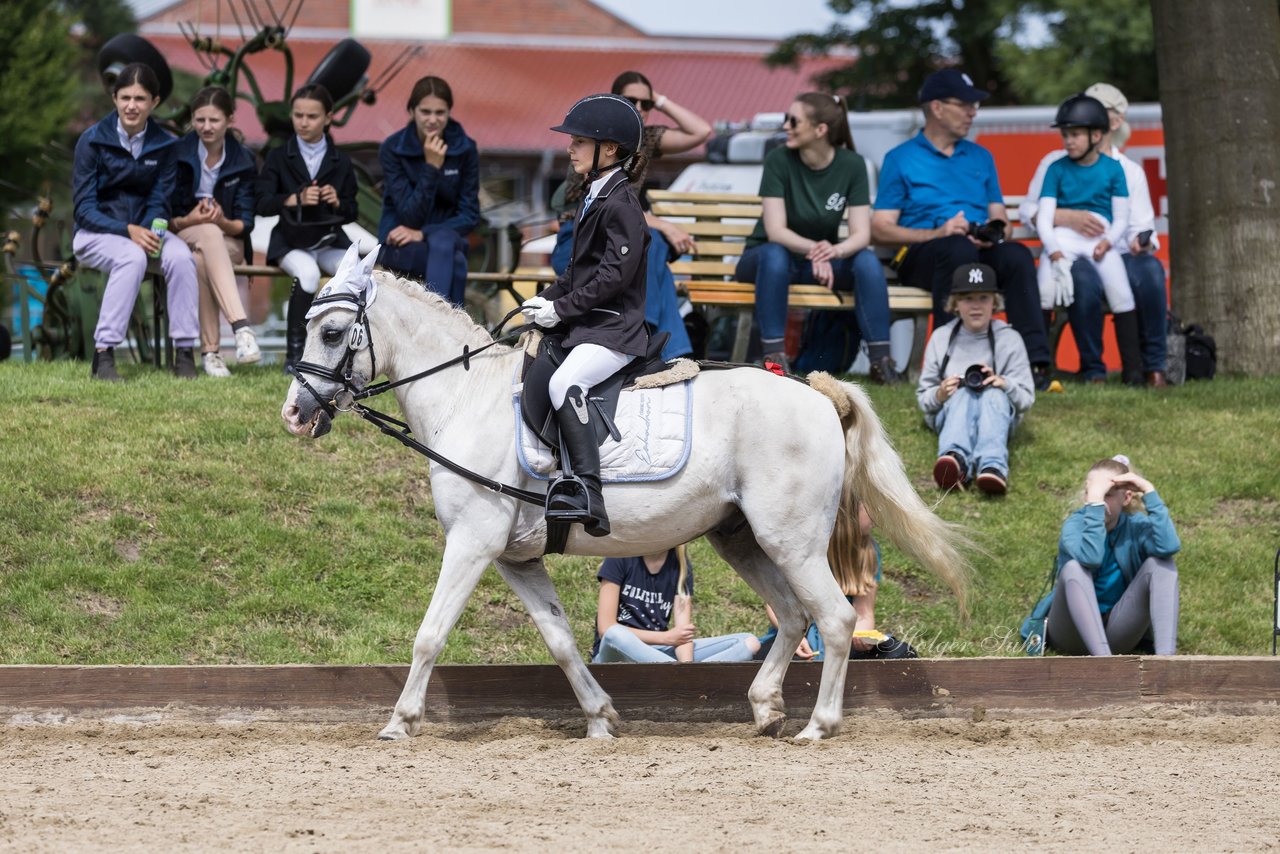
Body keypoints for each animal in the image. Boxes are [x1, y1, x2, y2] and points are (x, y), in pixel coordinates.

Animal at [285, 247, 962, 742]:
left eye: (334, 332)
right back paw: (767, 708)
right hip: (741, 538)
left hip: (790, 539)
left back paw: (818, 726)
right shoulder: (514, 559)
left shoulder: (472, 543)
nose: (294, 415)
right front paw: (601, 718)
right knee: (795, 615)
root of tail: (819, 393)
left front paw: (398, 723)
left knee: (836, 619)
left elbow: (430, 633)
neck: (464, 397)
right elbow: (561, 641)